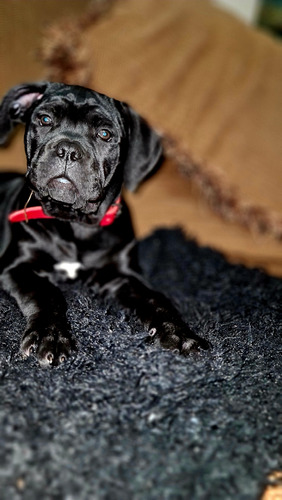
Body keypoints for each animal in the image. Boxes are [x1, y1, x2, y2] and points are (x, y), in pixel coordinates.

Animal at [0, 83, 207, 368]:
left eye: (105, 134)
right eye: (45, 119)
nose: (68, 150)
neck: (75, 222)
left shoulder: (123, 276)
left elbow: (157, 300)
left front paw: (180, 334)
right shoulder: (17, 267)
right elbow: (47, 292)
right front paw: (50, 335)